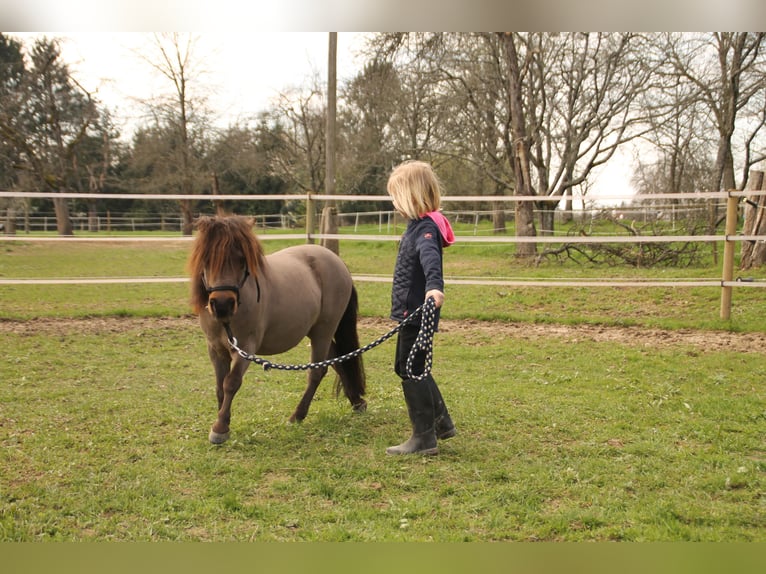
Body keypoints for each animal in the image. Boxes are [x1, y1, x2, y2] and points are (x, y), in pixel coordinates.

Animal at [186, 216, 366, 446]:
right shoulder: (215, 349)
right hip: (316, 331)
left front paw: (220, 428)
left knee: (317, 371)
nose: (222, 304)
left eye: (241, 259)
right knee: (337, 360)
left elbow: (231, 383)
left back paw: (297, 416)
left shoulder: (246, 348)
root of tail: (337, 261)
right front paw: (222, 420)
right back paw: (356, 401)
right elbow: (219, 387)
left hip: (324, 330)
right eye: (206, 258)